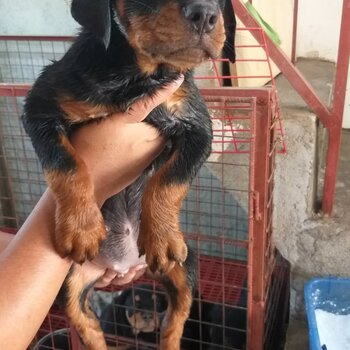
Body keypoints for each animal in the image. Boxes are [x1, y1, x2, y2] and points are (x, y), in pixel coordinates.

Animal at [21, 0, 235, 350]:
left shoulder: (198, 128)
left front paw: (161, 235)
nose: (205, 14)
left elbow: (170, 181)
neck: (138, 77)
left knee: (175, 318)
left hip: (186, 264)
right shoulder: (40, 108)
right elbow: (67, 164)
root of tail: (126, 265)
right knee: (87, 323)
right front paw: (81, 227)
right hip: (69, 279)